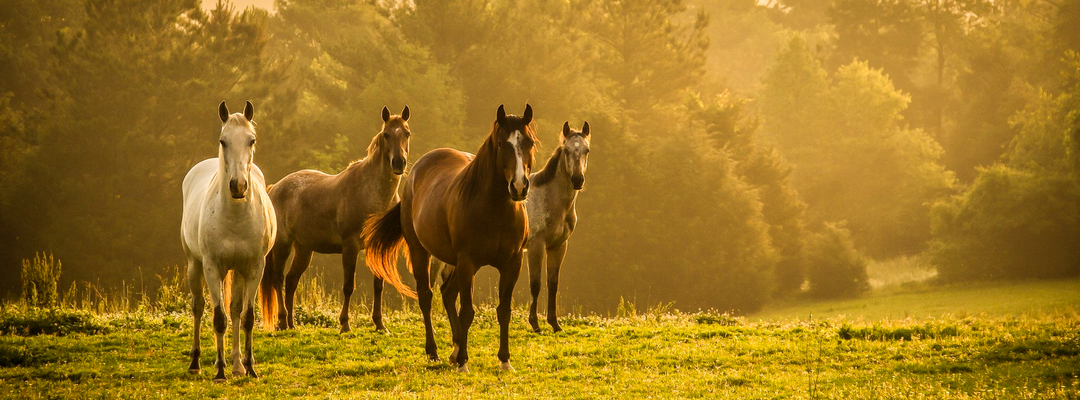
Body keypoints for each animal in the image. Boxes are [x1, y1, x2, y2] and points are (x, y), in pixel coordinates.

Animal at [179, 99, 276, 380]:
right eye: (223, 141)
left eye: (251, 140)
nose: (238, 186)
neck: (234, 215)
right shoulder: (212, 267)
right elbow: (218, 319)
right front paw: (220, 371)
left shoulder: (254, 268)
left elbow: (246, 317)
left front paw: (250, 367)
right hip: (195, 265)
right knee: (199, 307)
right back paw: (197, 362)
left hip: (239, 271)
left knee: (234, 309)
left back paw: (237, 364)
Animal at [259, 104, 414, 332]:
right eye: (386, 134)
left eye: (406, 133)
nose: (399, 163)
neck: (371, 193)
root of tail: (275, 188)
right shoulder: (350, 247)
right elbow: (348, 286)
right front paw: (345, 324)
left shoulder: (375, 246)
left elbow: (378, 285)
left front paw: (379, 324)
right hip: (282, 245)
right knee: (278, 279)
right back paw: (282, 320)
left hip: (303, 249)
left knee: (291, 280)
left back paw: (291, 324)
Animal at [365, 104, 537, 374]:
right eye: (501, 144)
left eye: (529, 142)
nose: (519, 186)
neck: (495, 210)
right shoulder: (468, 263)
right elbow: (467, 312)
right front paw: (464, 362)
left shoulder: (512, 264)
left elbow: (504, 311)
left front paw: (504, 360)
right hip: (421, 251)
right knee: (427, 296)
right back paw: (434, 351)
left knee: (447, 293)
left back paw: (454, 350)